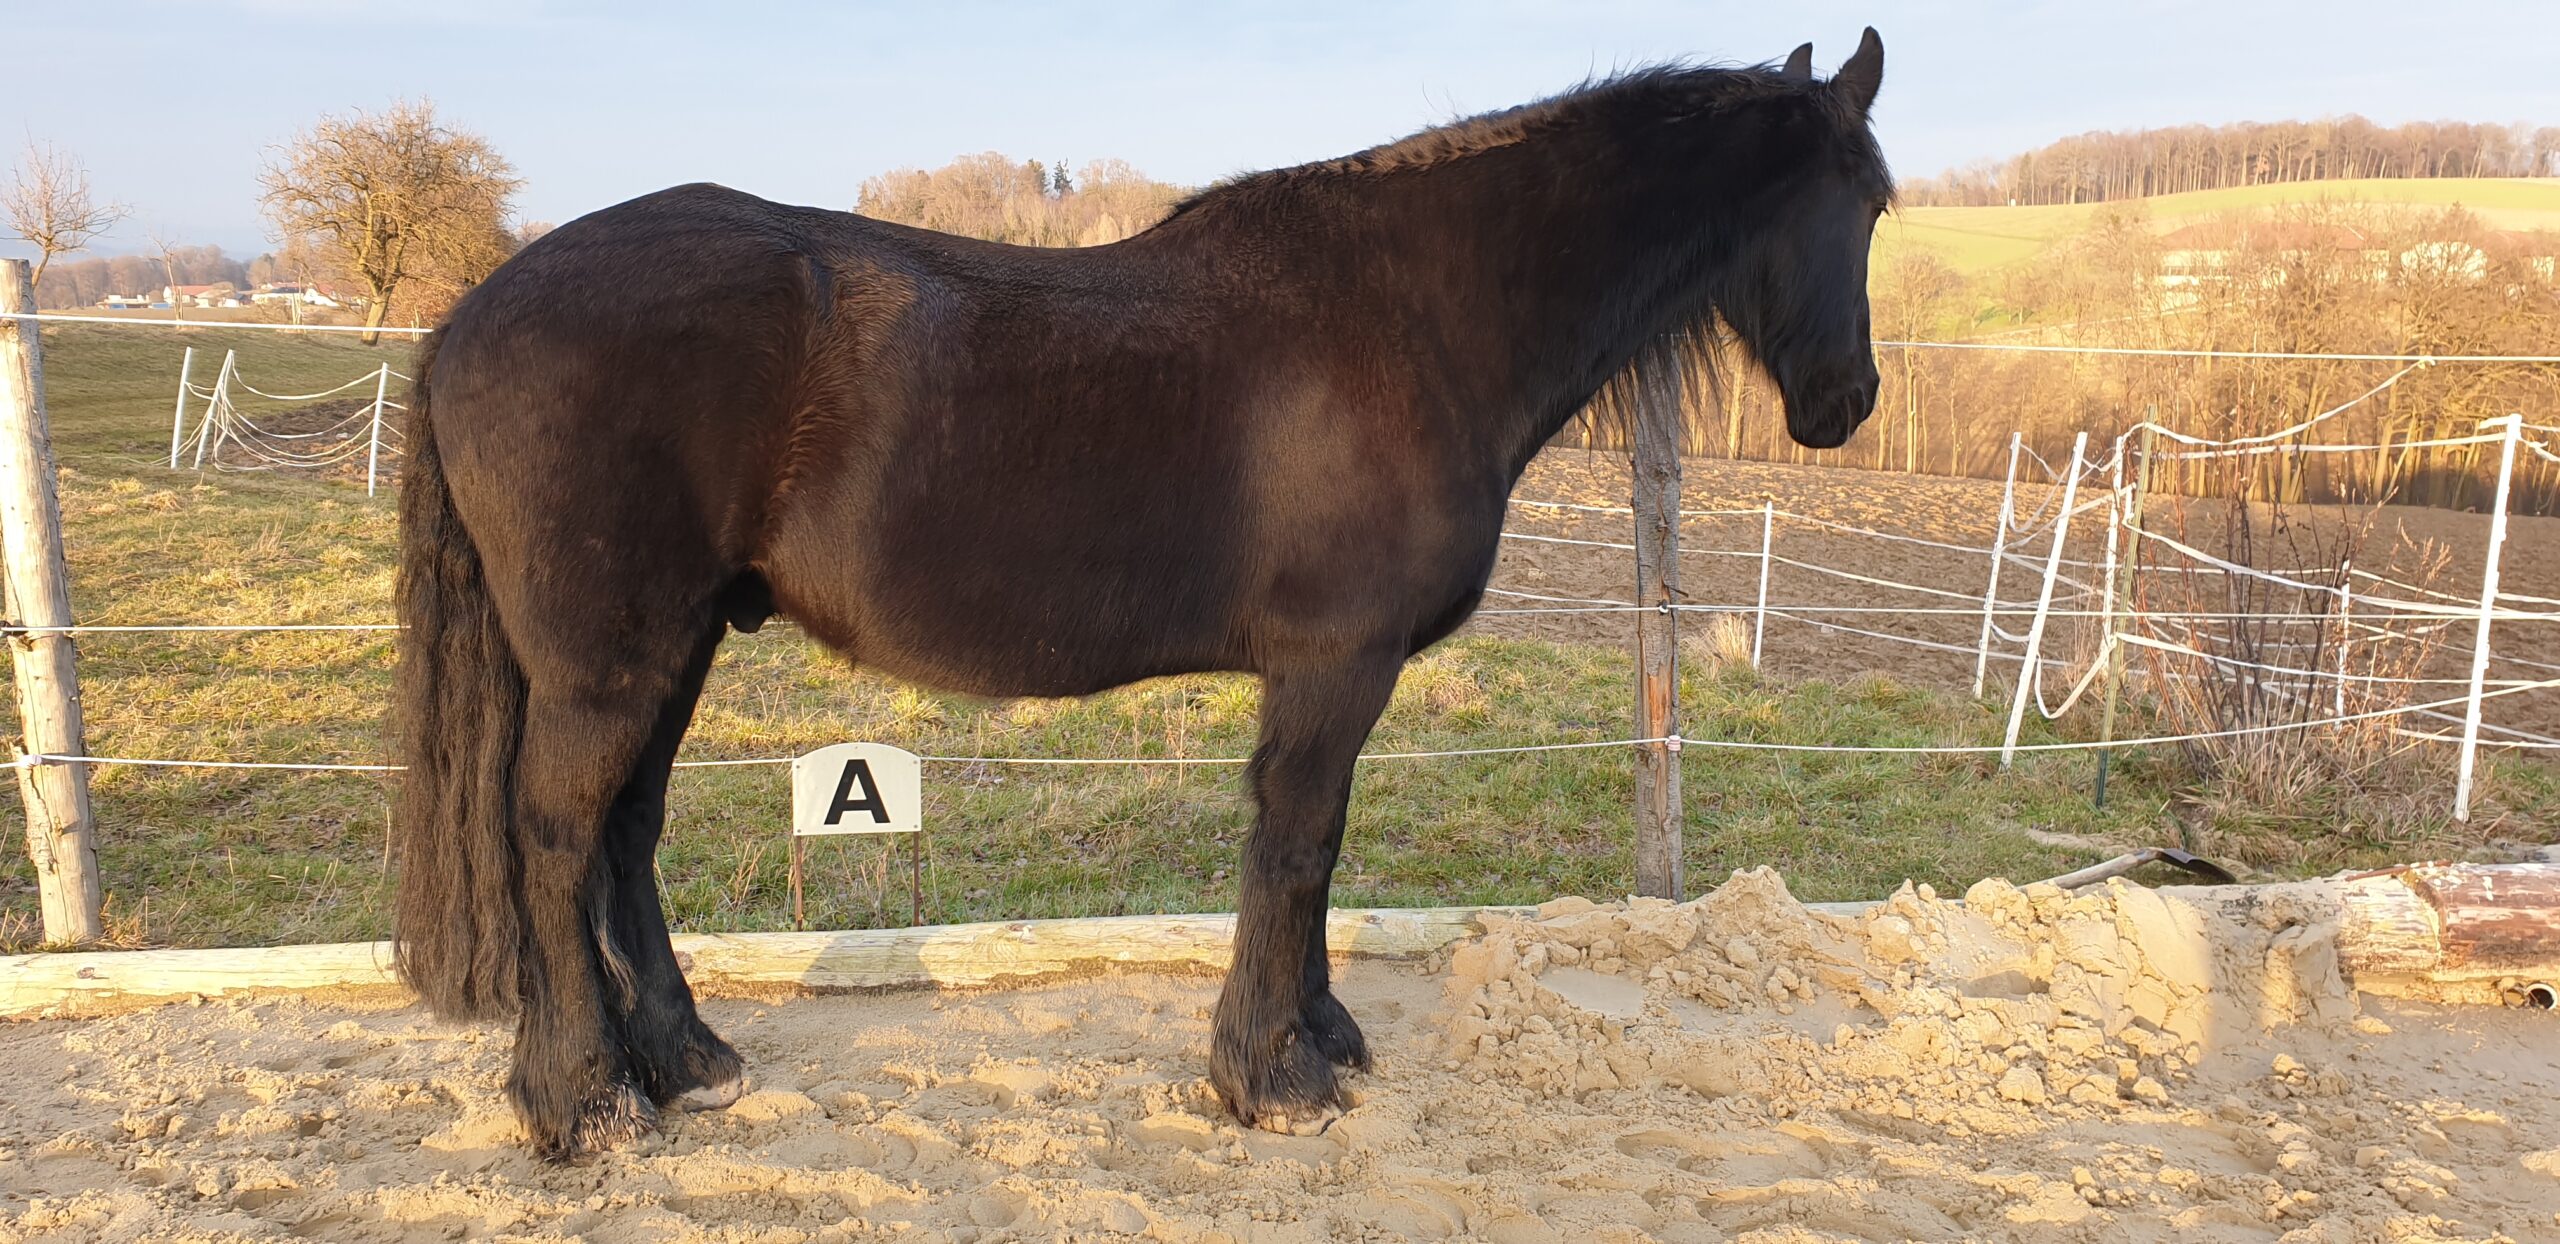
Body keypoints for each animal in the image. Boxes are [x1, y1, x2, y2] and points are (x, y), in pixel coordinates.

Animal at [392, 29, 1891, 1158]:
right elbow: (1295, 846)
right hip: (611, 656)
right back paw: (585, 1101)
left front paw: (1323, 1038)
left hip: (680, 640)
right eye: (1867, 202)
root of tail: (472, 312)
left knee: (623, 836)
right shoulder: (1335, 663)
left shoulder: (1333, 674)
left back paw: (688, 1060)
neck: (1413, 314)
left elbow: (1318, 851)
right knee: (552, 834)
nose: (1848, 401)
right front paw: (1268, 1076)